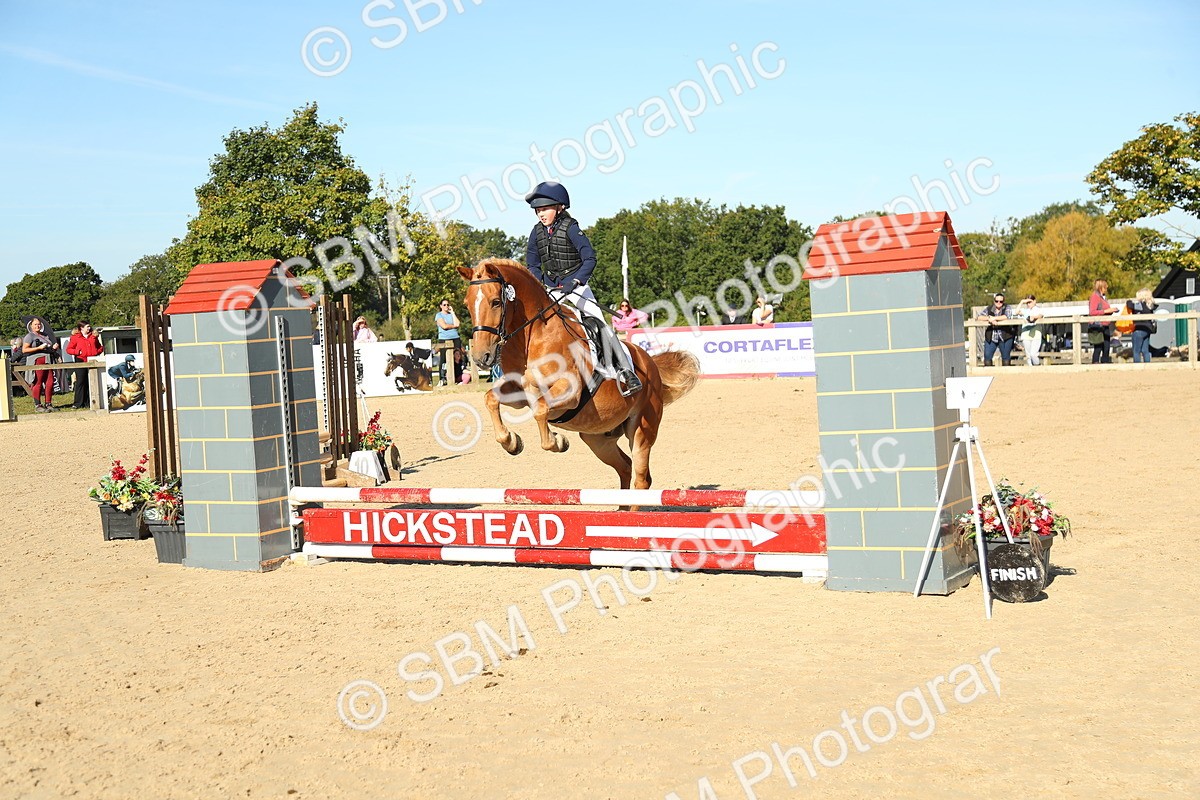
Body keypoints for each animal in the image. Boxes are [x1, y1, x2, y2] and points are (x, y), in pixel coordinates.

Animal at [457, 258, 700, 491]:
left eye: (496, 302)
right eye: (467, 304)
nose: (481, 357)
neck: (532, 337)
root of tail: (650, 362)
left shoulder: (570, 391)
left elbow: (541, 410)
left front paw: (557, 441)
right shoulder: (520, 393)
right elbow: (490, 398)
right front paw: (512, 442)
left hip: (642, 429)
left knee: (641, 478)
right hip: (597, 438)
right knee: (625, 467)